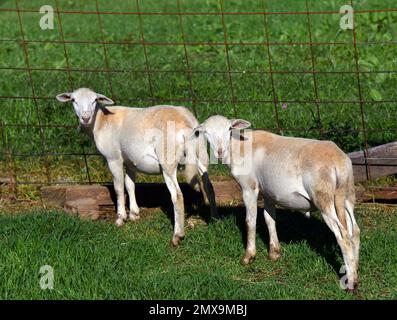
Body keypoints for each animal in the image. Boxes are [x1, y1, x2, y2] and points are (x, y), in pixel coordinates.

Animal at [55, 87, 217, 245]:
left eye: (95, 100)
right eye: (74, 100)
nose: (85, 118)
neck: (101, 121)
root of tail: (186, 124)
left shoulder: (113, 158)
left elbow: (119, 188)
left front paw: (120, 218)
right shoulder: (130, 161)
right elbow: (130, 185)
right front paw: (134, 214)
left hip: (167, 160)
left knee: (177, 196)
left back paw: (177, 236)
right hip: (201, 153)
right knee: (209, 187)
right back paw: (214, 220)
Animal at [190, 116, 360, 292]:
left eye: (229, 129)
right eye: (206, 132)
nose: (220, 152)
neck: (238, 147)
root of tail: (338, 162)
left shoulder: (249, 186)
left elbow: (250, 221)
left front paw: (248, 256)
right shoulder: (269, 191)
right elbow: (269, 218)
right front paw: (274, 253)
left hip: (323, 197)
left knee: (344, 237)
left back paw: (350, 283)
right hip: (347, 195)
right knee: (355, 231)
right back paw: (354, 271)